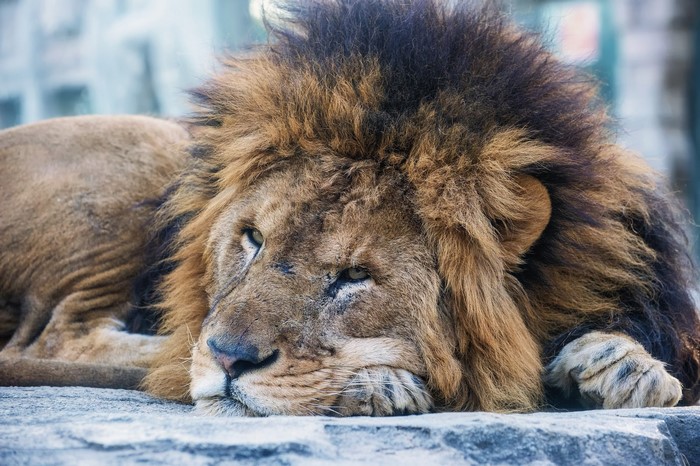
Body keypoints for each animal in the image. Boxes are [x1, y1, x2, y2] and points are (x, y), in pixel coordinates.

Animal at [2, 0, 700, 415]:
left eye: (354, 277)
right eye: (252, 239)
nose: (227, 358)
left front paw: (622, 370)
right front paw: (378, 382)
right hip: (150, 148)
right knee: (63, 339)